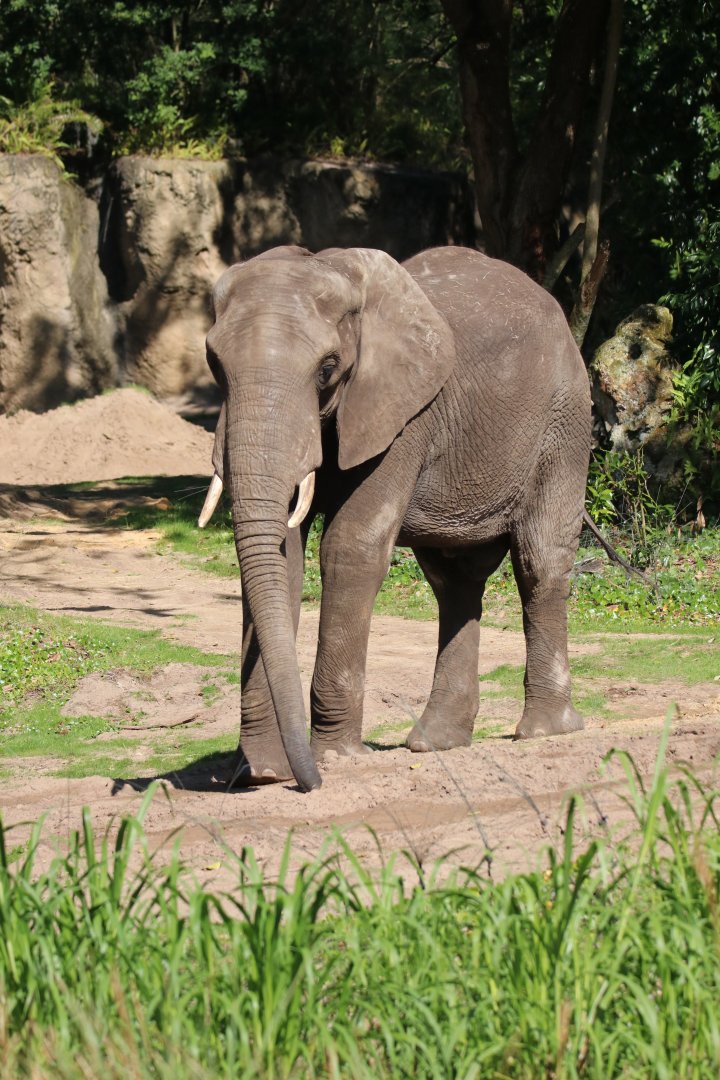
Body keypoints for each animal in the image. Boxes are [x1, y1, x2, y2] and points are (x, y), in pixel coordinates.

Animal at [198, 244, 592, 792]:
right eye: (214, 363)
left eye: (327, 368)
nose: (306, 782)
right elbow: (284, 559)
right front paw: (262, 771)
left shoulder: (405, 415)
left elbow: (351, 547)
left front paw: (335, 758)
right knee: (454, 580)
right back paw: (435, 742)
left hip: (565, 421)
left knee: (540, 562)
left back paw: (543, 732)